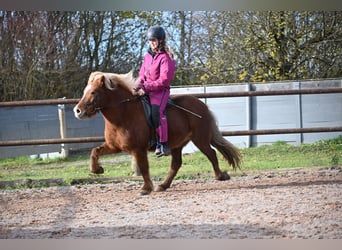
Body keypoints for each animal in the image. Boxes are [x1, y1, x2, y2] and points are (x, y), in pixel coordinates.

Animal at [74, 71, 240, 194]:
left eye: (93, 92)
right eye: (84, 91)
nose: (78, 111)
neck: (123, 115)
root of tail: (201, 104)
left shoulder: (138, 149)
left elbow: (144, 168)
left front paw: (146, 188)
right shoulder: (114, 147)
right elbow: (95, 151)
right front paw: (97, 170)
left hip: (200, 138)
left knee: (211, 153)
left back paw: (220, 176)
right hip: (177, 144)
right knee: (176, 164)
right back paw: (164, 185)